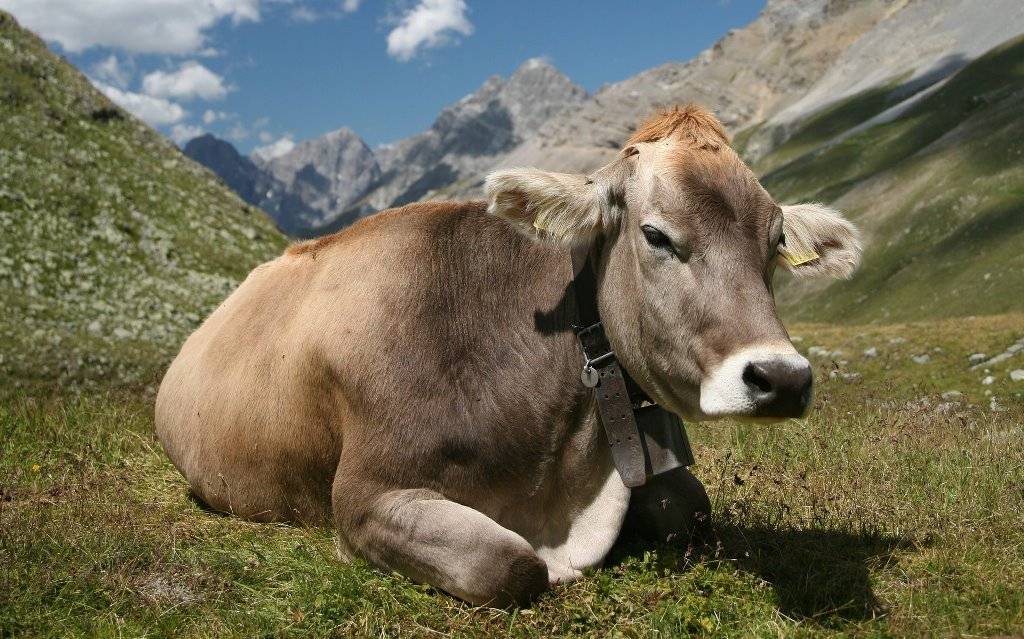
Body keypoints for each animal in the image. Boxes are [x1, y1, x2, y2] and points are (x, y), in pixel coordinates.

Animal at [155, 102, 860, 606]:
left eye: (774, 242)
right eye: (657, 235)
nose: (781, 378)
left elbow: (692, 511)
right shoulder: (365, 496)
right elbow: (509, 565)